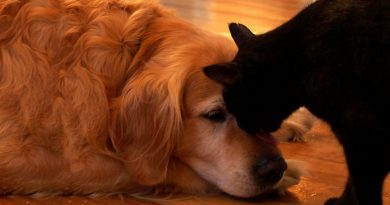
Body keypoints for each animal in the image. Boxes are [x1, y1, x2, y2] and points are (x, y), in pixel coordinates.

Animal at [0, 0, 304, 199]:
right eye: (215, 115)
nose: (275, 169)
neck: (128, 56)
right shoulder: (27, 156)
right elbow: (147, 169)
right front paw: (290, 171)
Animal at [204, 0, 390, 203]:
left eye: (235, 106)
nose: (244, 126)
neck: (297, 62)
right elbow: (355, 182)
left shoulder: (363, 137)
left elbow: (362, 186)